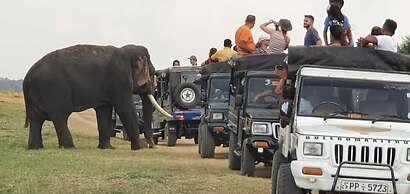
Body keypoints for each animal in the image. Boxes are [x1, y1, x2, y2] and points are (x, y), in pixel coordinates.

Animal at [23, 44, 171, 150]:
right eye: (152, 73)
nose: (151, 146)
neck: (125, 51)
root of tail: (27, 78)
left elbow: (104, 111)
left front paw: (107, 148)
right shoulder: (119, 80)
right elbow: (125, 108)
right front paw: (140, 147)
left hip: (35, 97)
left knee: (36, 120)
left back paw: (35, 148)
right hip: (54, 90)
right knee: (60, 116)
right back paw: (69, 147)